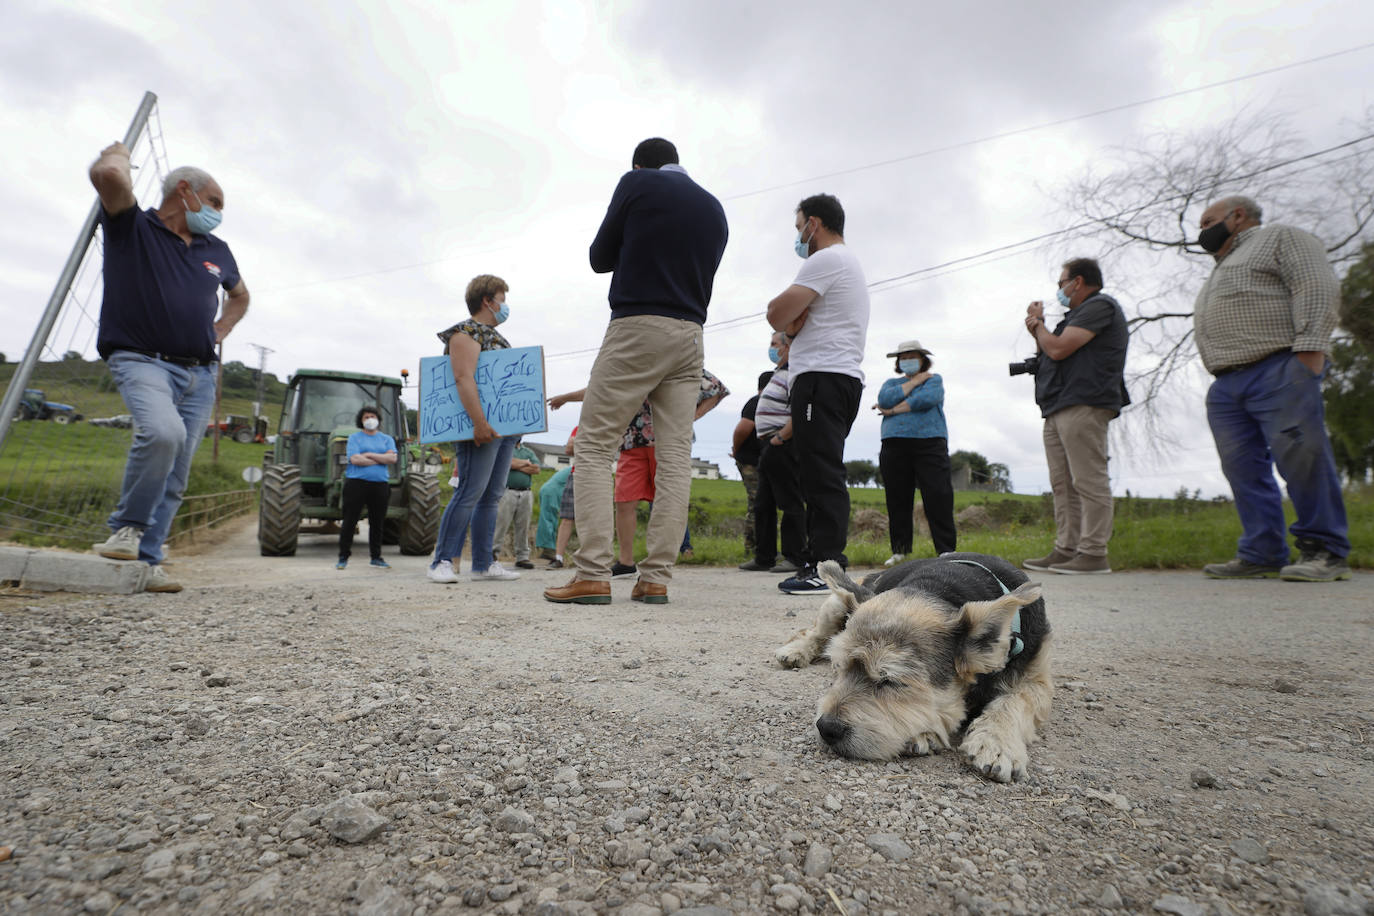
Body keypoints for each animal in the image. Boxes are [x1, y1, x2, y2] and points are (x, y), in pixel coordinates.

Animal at [774, 552, 1049, 780]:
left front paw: (996, 742)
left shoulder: (1037, 679)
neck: (942, 589)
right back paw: (795, 651)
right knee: (814, 632)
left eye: (890, 681)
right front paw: (926, 733)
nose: (826, 728)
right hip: (834, 605)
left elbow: (1016, 700)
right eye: (839, 667)